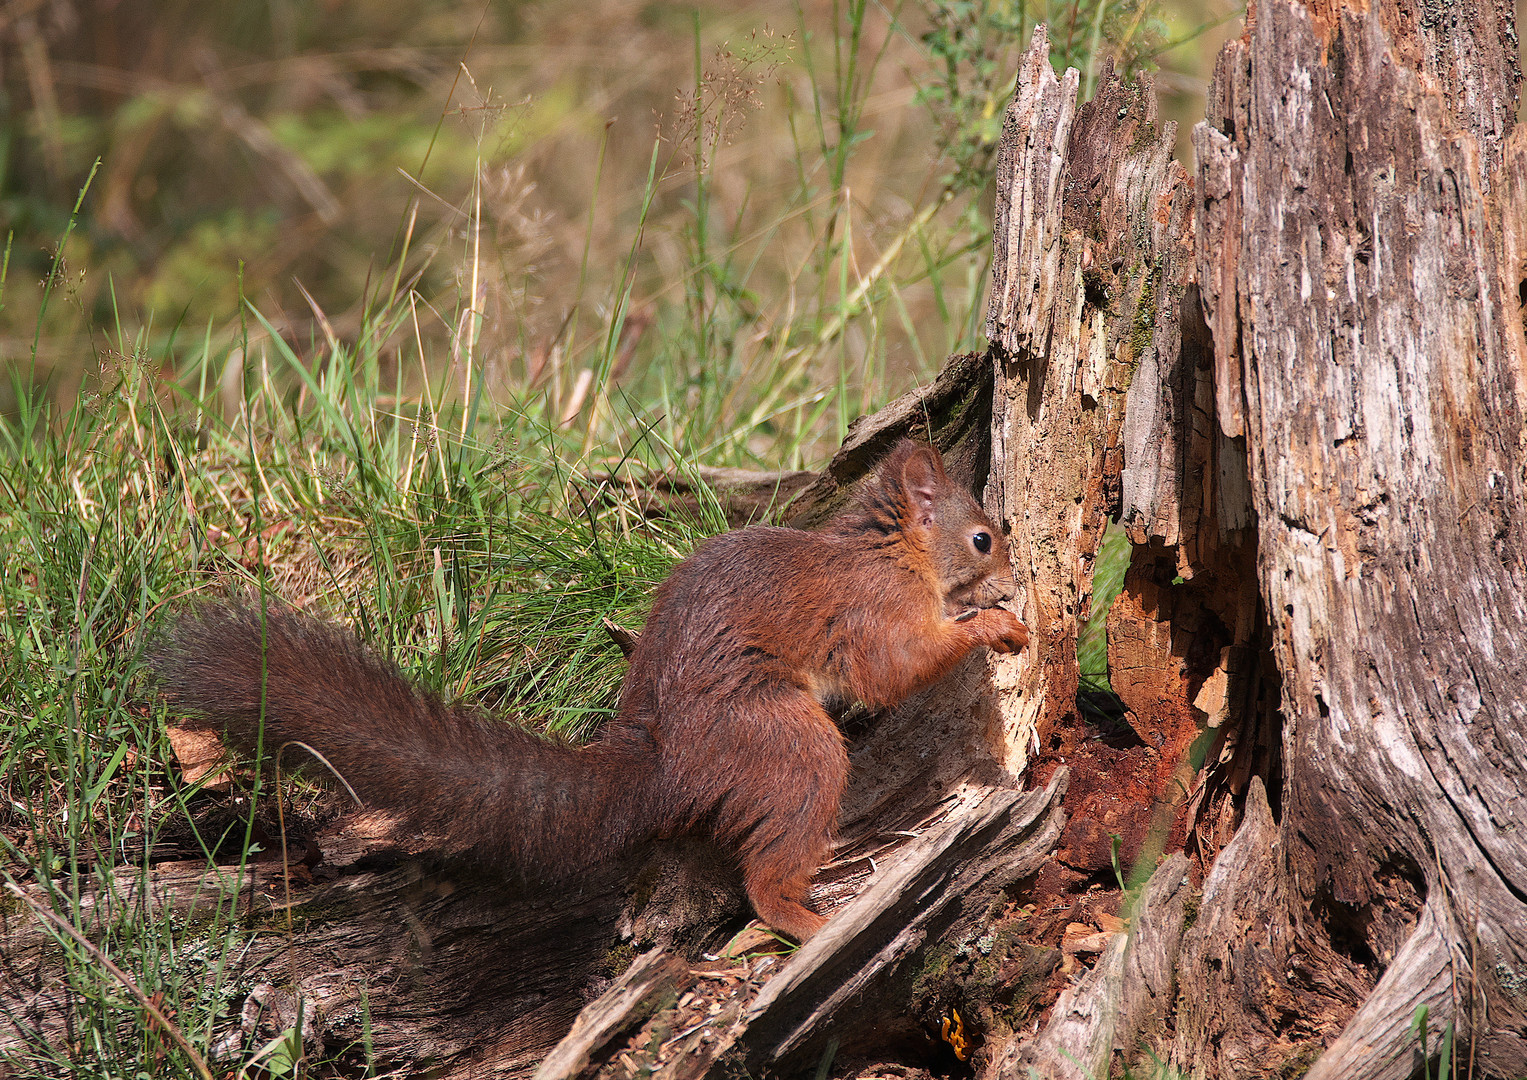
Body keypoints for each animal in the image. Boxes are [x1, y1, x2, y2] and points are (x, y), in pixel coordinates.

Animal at [151, 439, 1026, 934]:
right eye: (984, 537)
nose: (1015, 578)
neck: (888, 552)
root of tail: (668, 769)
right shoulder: (873, 613)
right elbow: (894, 670)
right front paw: (991, 626)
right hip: (785, 740)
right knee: (766, 870)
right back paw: (805, 921)